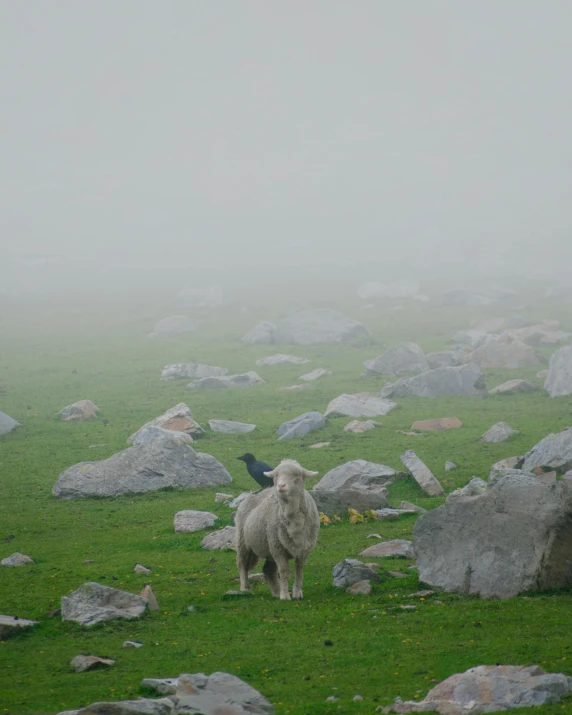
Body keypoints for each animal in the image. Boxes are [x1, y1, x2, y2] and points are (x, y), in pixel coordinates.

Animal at [235, 458, 320, 600]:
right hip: (244, 541)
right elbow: (284, 571)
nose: (280, 486)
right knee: (243, 564)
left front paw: (297, 593)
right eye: (276, 475)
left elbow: (299, 570)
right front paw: (285, 596)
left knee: (268, 570)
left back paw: (276, 592)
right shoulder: (278, 548)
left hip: (269, 547)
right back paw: (245, 588)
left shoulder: (304, 548)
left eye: (296, 475)